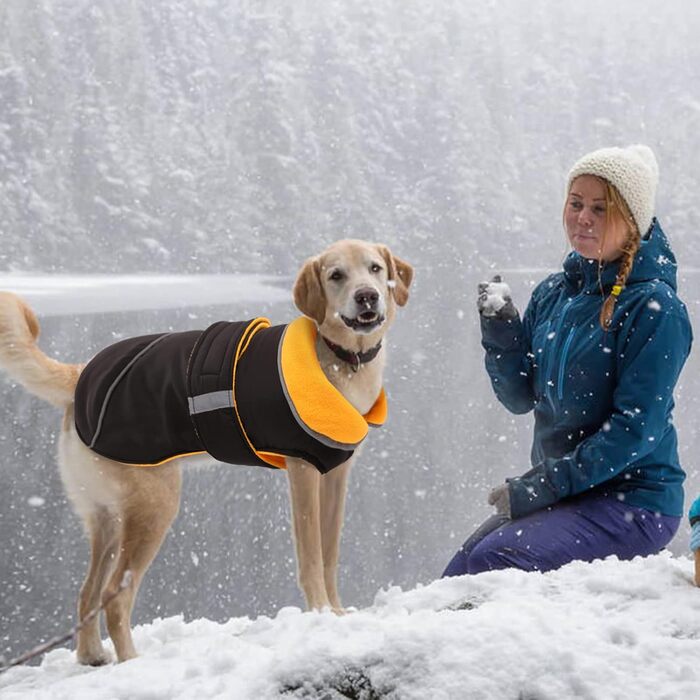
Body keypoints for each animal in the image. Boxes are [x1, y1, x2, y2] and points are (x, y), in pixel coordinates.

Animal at [0, 242, 412, 668]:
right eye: (336, 275)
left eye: (375, 269)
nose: (367, 296)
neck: (339, 358)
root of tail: (81, 376)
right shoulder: (303, 471)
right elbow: (311, 556)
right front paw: (319, 613)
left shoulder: (335, 476)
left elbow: (330, 554)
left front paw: (337, 612)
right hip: (154, 508)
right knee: (115, 597)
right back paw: (131, 659)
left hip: (107, 518)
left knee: (87, 593)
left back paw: (92, 654)